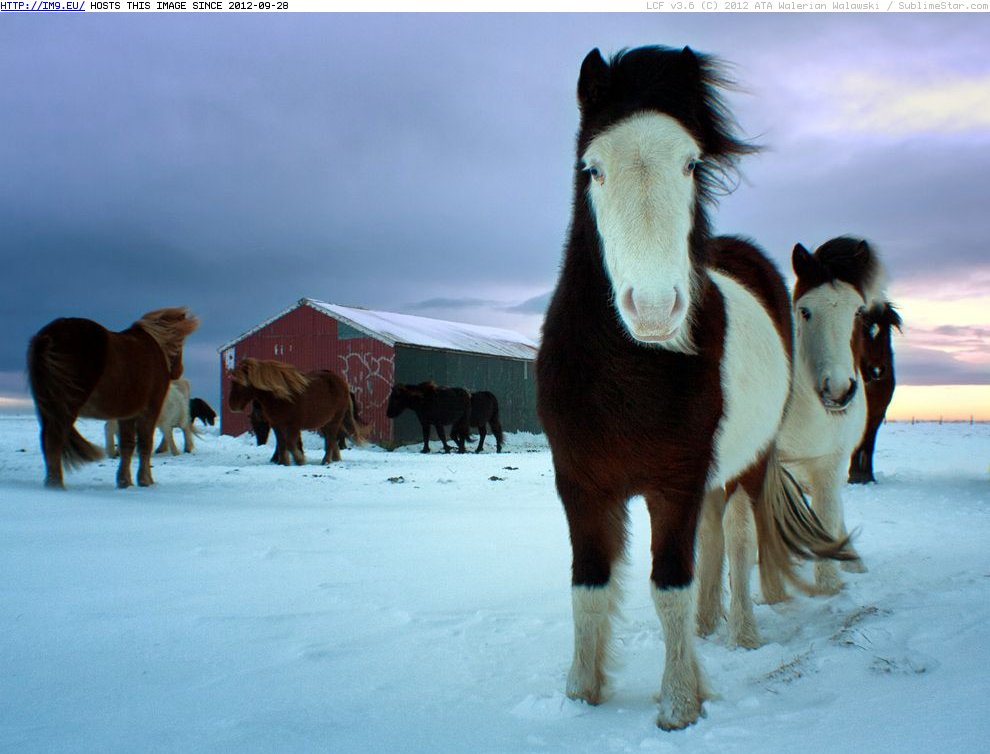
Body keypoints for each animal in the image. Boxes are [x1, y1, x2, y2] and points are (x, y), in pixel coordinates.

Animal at [26, 306, 200, 488]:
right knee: (54, 439)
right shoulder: (150, 410)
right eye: (181, 342)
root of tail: (49, 335)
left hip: (47, 407)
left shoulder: (127, 414)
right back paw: (56, 484)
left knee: (46, 440)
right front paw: (145, 480)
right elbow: (145, 443)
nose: (178, 371)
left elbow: (127, 445)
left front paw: (125, 481)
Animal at [227, 358, 366, 464]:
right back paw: (334, 459)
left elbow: (290, 443)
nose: (232, 405)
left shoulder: (293, 426)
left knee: (331, 440)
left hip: (335, 420)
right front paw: (283, 462)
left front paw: (299, 460)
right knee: (331, 440)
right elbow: (282, 444)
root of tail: (343, 384)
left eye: (240, 382)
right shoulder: (277, 425)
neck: (281, 398)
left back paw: (326, 461)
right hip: (324, 422)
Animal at [536, 47, 852, 728]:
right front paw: (581, 695)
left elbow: (669, 587)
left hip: (747, 466)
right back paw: (710, 628)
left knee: (735, 538)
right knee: (712, 540)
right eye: (593, 169)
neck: (628, 378)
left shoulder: (674, 484)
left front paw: (679, 704)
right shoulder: (580, 485)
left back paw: (741, 633)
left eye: (690, 163)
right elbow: (588, 589)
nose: (655, 309)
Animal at [700, 239, 880, 648]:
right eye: (806, 311)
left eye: (858, 311)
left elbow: (827, 513)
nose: (839, 390)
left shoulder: (830, 461)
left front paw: (828, 583)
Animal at [848, 300, 904, 482]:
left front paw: (867, 476)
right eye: (863, 330)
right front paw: (855, 476)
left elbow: (869, 444)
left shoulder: (877, 414)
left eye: (887, 330)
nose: (877, 370)